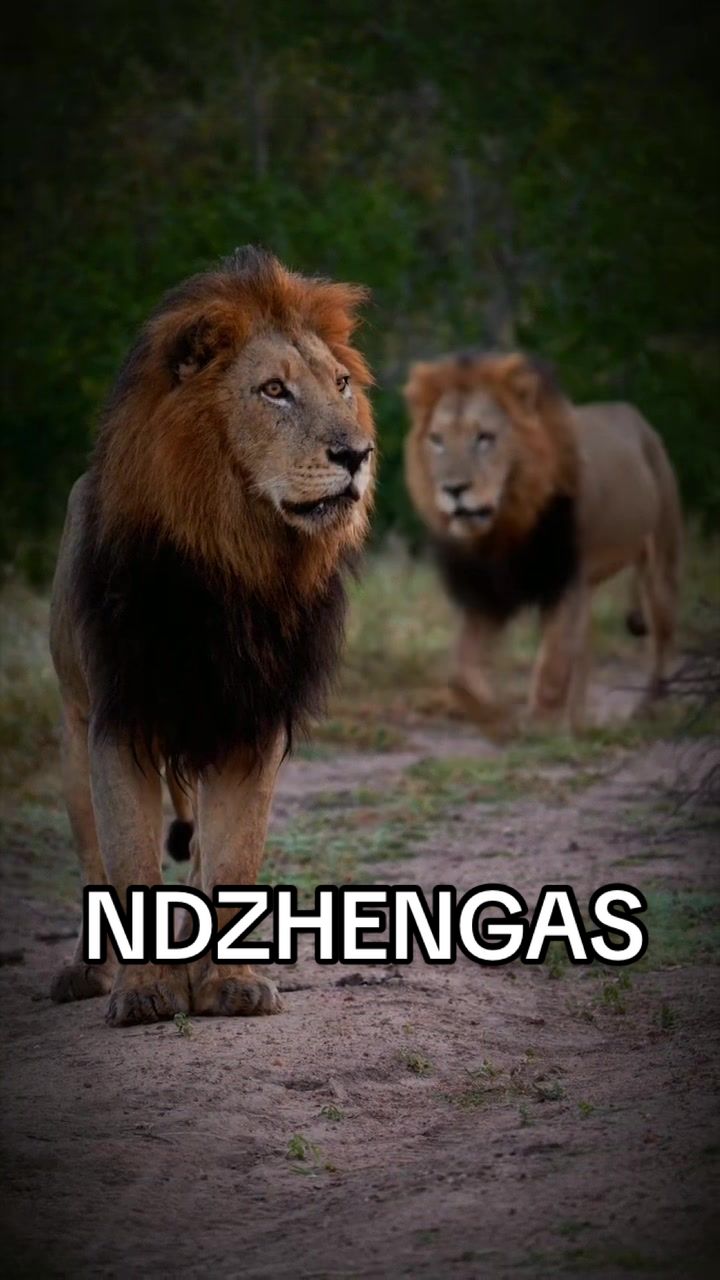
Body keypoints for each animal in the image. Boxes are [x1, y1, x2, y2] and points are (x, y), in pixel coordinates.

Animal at [49, 247, 375, 1025]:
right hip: (72, 733)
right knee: (92, 858)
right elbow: (130, 864)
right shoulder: (120, 720)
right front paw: (145, 994)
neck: (233, 557)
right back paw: (88, 974)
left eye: (341, 384)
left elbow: (232, 862)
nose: (358, 454)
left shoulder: (250, 724)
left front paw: (228, 984)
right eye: (274, 391)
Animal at [404, 351, 682, 736]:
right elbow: (459, 674)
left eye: (484, 437)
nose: (453, 489)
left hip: (659, 564)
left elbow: (552, 667)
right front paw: (496, 716)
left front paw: (538, 728)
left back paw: (647, 710)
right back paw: (579, 727)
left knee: (662, 640)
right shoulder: (487, 593)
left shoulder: (564, 582)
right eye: (437, 439)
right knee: (587, 647)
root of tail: (634, 415)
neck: (506, 525)